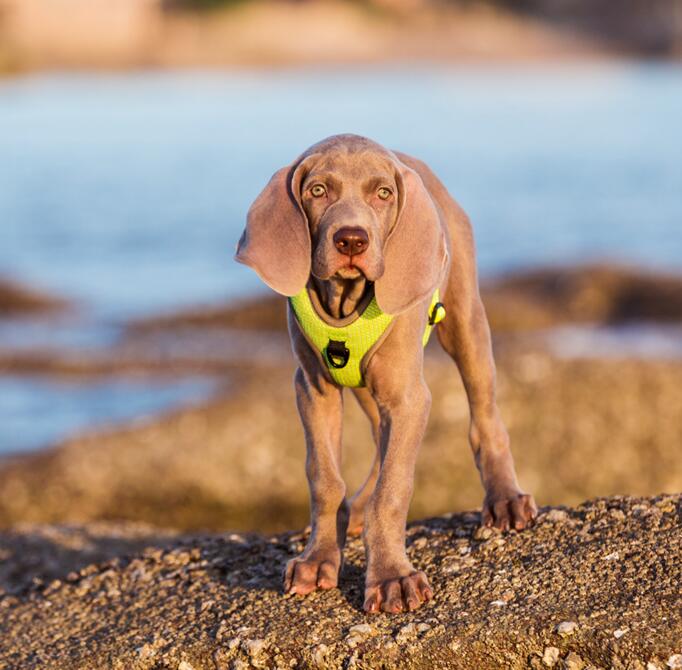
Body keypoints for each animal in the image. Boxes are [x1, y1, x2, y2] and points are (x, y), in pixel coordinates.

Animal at [236, 133, 532, 616]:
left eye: (383, 193)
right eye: (318, 191)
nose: (351, 240)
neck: (345, 302)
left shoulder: (409, 396)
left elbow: (393, 491)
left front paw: (393, 577)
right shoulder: (313, 389)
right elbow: (324, 477)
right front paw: (318, 558)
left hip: (465, 321)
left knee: (484, 414)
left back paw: (505, 500)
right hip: (363, 385)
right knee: (378, 434)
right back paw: (353, 513)